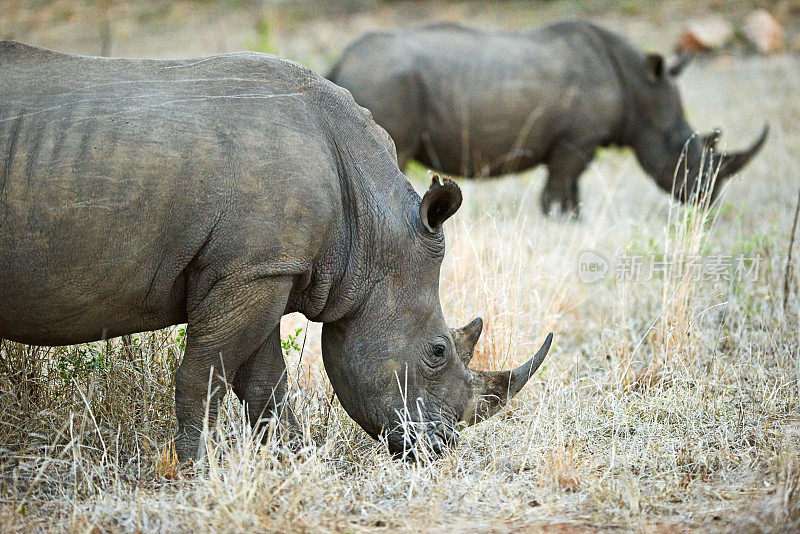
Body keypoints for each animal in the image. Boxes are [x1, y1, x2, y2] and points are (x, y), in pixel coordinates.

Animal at [0, 42, 552, 462]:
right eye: (437, 352)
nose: (440, 447)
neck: (371, 225)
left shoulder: (262, 268)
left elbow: (264, 381)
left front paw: (291, 460)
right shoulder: (252, 271)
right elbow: (205, 375)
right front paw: (197, 470)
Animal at [326, 21, 768, 218]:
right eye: (685, 153)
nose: (707, 202)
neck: (639, 89)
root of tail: (342, 61)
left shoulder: (577, 143)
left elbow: (572, 188)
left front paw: (572, 220)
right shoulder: (576, 141)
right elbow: (558, 187)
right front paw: (557, 219)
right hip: (385, 79)